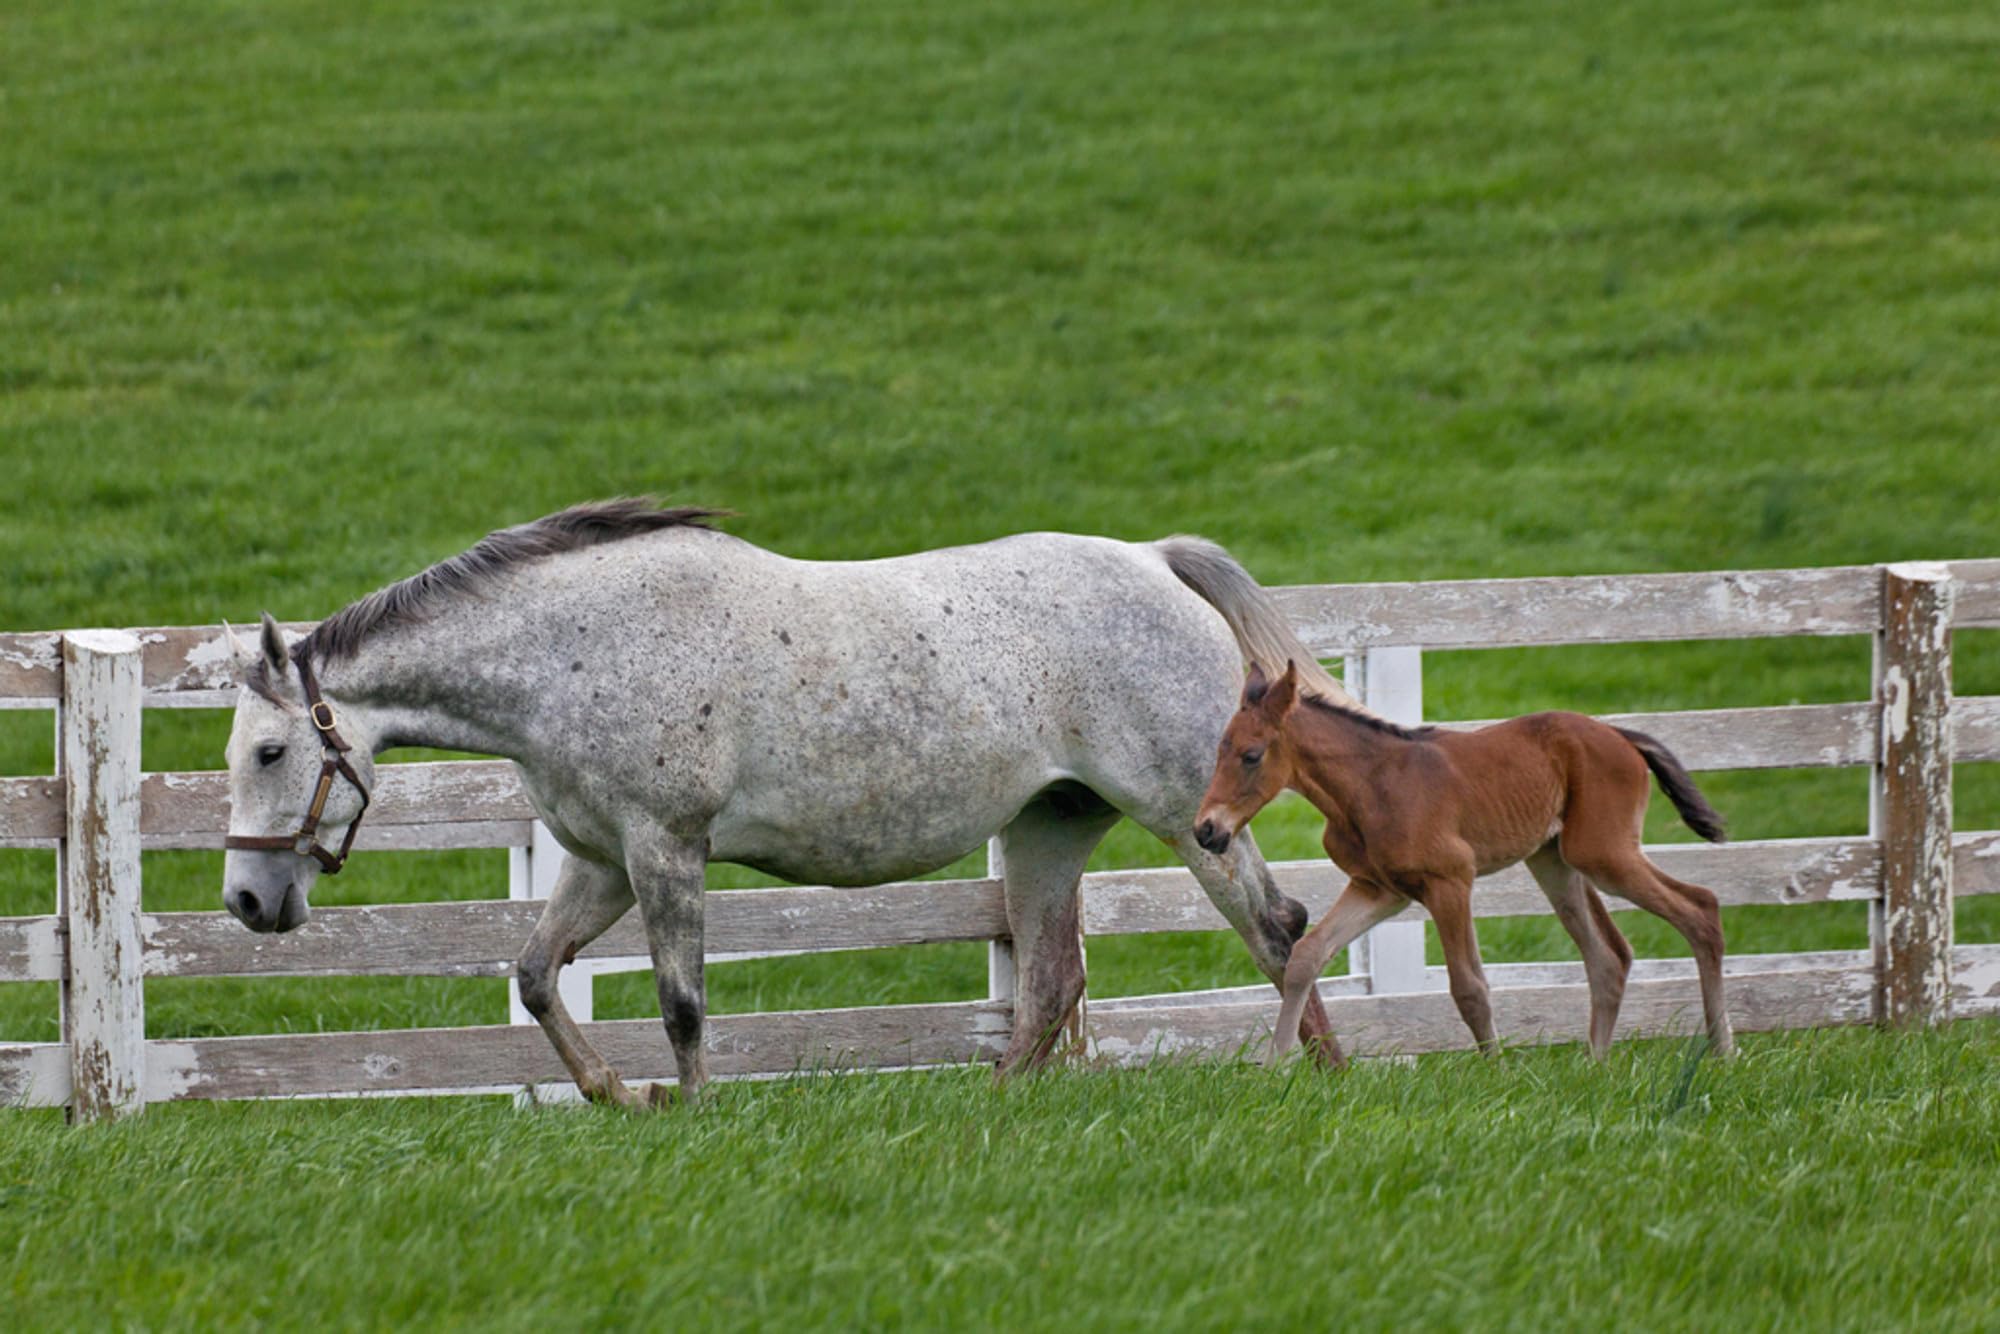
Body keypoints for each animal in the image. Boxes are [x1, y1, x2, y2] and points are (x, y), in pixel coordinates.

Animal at [220, 499, 1340, 1106]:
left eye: (271, 750)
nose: (245, 901)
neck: (572, 651)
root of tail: (1154, 561)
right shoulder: (602, 860)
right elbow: (536, 975)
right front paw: (618, 1094)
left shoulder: (665, 850)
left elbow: (681, 1001)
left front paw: (694, 1112)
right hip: (1047, 828)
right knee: (1052, 982)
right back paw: (986, 1106)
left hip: (1184, 815)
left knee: (1278, 926)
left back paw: (1320, 1079)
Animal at [1192, 659, 1735, 1064]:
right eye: (1217, 750)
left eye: (1251, 755)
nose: (1206, 830)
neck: (1370, 786)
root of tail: (1621, 735)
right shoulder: (1379, 889)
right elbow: (1305, 957)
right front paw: (1274, 1068)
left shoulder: (1450, 881)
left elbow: (1469, 986)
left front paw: (1498, 1076)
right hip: (1555, 862)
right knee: (1609, 956)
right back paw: (1596, 1066)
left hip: (1604, 852)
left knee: (1701, 907)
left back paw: (1723, 1052)